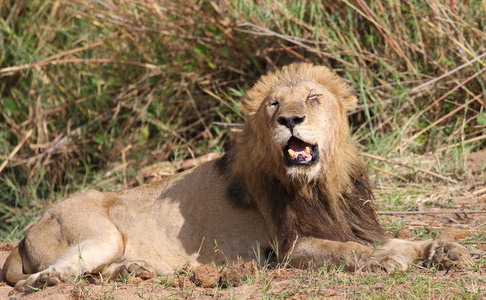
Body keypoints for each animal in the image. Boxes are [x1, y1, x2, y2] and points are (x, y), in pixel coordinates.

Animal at [1, 62, 468, 290]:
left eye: (312, 97)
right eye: (273, 104)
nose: (290, 119)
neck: (322, 185)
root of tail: (27, 231)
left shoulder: (354, 223)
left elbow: (396, 240)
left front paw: (441, 250)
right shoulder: (288, 250)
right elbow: (346, 252)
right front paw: (385, 261)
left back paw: (134, 271)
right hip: (99, 234)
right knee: (50, 273)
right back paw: (53, 280)